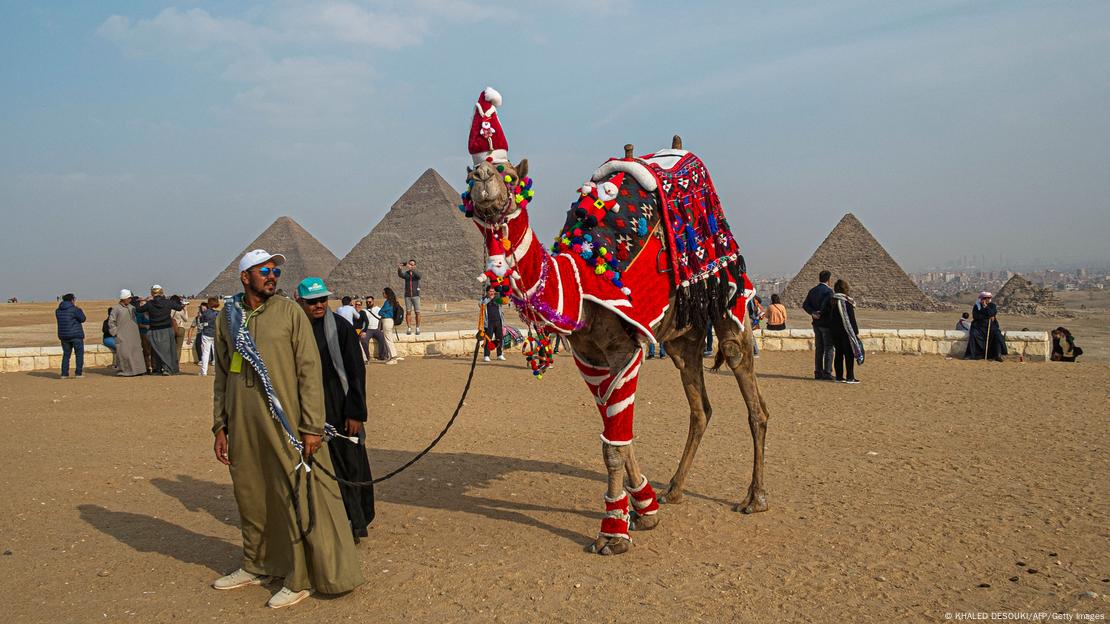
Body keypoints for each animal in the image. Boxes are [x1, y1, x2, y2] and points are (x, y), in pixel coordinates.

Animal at [459, 87, 772, 552]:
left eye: (508, 173)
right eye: (469, 175)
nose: (482, 179)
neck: (578, 283)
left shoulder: (626, 348)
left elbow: (614, 441)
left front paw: (613, 533)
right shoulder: (587, 356)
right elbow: (615, 435)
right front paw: (643, 508)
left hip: (730, 301)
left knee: (750, 393)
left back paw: (754, 498)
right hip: (681, 339)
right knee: (700, 406)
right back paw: (674, 489)